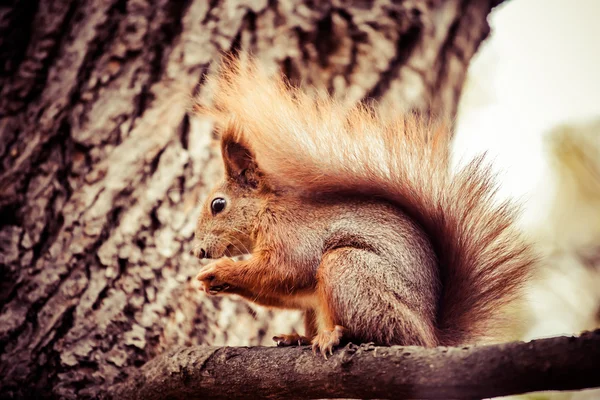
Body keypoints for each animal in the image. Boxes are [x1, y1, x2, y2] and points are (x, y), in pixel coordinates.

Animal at [192, 57, 536, 356]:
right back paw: (299, 338)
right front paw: (212, 281)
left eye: (218, 204)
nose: (198, 251)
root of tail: (430, 336)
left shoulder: (293, 237)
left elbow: (283, 270)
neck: (267, 211)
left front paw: (220, 270)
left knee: (379, 330)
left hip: (350, 271)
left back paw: (336, 335)